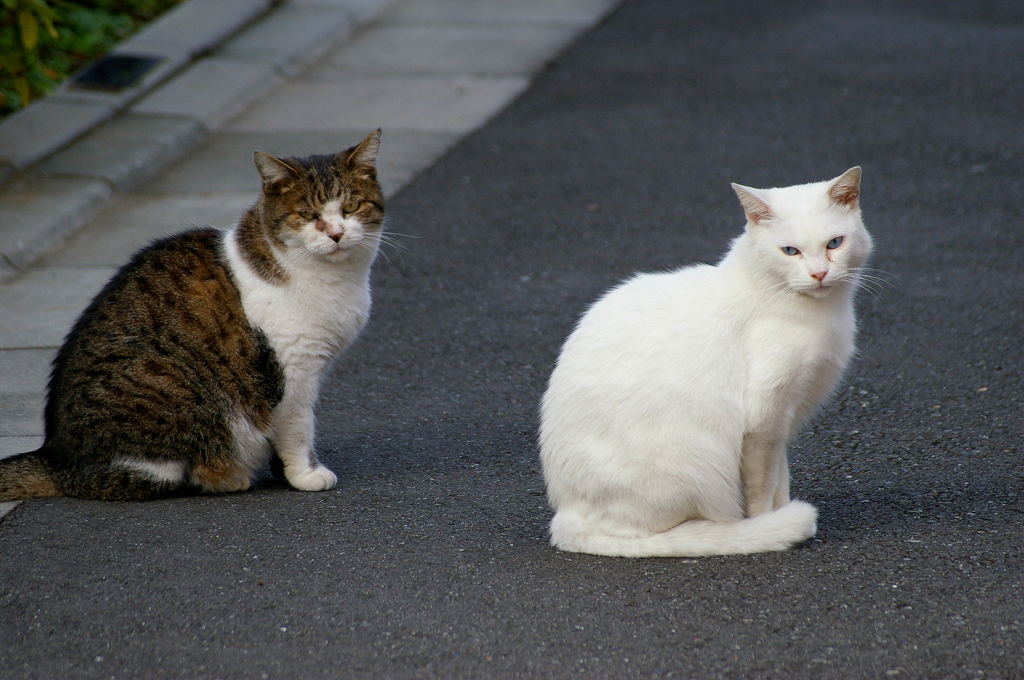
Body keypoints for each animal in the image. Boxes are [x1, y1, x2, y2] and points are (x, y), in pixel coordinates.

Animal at [536, 166, 872, 557]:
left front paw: (781, 514)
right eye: (790, 251)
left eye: (835, 243)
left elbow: (781, 480)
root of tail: (565, 516)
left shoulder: (782, 422)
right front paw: (768, 525)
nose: (819, 274)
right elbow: (762, 489)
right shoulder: (762, 421)